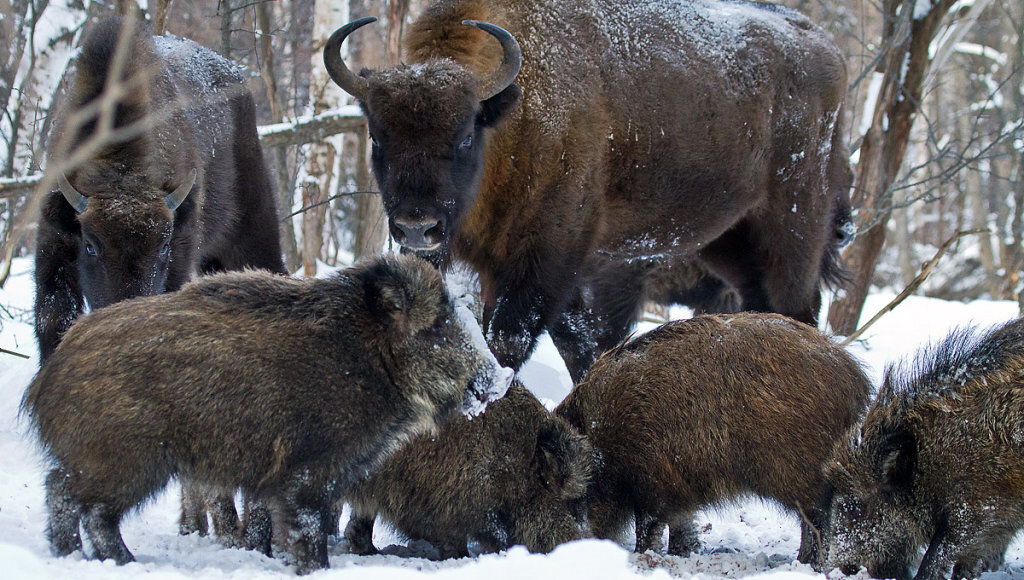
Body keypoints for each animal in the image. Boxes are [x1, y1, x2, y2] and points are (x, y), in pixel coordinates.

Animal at [19, 256, 507, 577]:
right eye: (437, 325)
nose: (502, 379)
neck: (369, 362)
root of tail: (46, 377)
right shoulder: (307, 472)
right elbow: (308, 532)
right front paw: (314, 569)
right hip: (126, 459)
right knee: (80, 501)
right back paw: (117, 561)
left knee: (67, 495)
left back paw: (75, 556)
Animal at [323, 0, 851, 381]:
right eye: (377, 137)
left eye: (465, 135)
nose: (418, 227)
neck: (514, 112)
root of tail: (825, 48)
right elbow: (577, 341)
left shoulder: (548, 256)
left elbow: (510, 340)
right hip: (726, 239)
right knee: (761, 302)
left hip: (792, 224)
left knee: (797, 305)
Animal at [561, 315, 872, 565]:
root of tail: (855, 377)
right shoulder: (675, 487)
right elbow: (681, 525)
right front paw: (681, 554)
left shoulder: (651, 480)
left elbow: (648, 527)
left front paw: (642, 556)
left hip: (798, 472)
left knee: (818, 518)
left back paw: (808, 563)